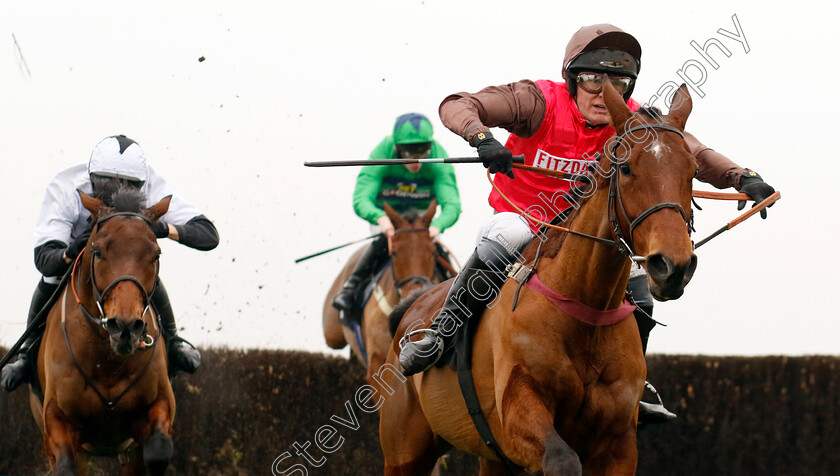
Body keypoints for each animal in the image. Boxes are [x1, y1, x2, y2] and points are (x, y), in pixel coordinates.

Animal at [31, 188, 177, 474]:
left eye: (156, 254)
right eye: (97, 251)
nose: (125, 327)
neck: (107, 362)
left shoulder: (158, 406)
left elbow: (158, 451)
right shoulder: (57, 420)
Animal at [384, 83, 700, 474]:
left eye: (692, 170)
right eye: (626, 168)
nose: (672, 266)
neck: (585, 307)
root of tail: (415, 303)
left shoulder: (619, 443)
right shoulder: (518, 413)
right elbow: (562, 459)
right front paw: (492, 148)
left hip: (491, 457)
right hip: (404, 452)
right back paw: (426, 346)